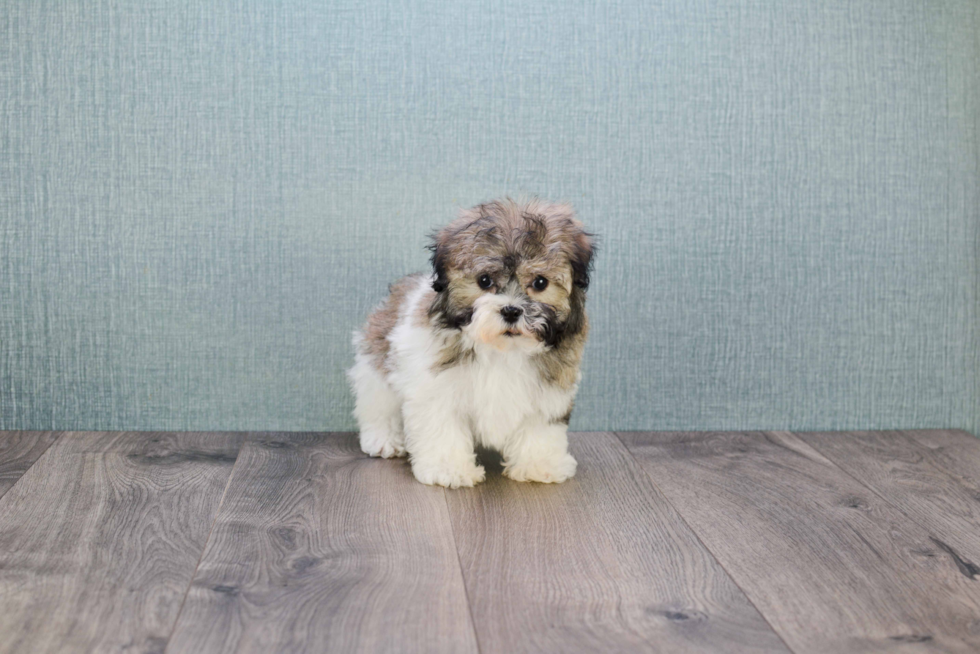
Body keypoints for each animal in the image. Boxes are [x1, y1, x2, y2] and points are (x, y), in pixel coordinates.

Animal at [350, 197, 596, 490]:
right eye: (484, 280)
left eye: (540, 282)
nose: (511, 310)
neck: (503, 350)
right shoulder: (435, 388)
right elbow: (442, 427)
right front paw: (449, 469)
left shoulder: (550, 389)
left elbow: (540, 427)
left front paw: (539, 465)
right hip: (376, 363)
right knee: (378, 404)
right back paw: (383, 439)